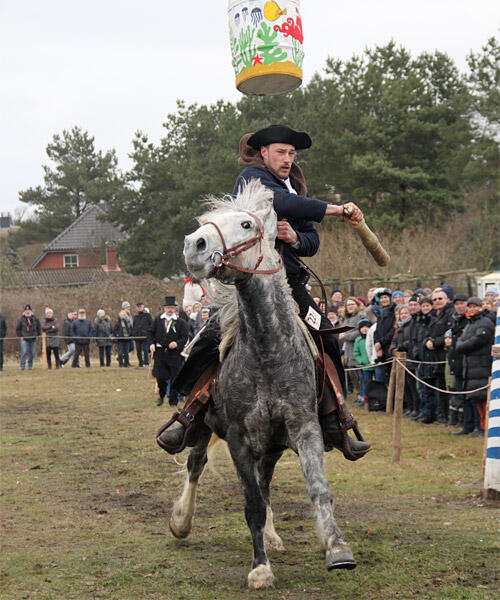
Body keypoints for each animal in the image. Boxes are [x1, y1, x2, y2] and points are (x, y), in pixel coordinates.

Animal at [171, 180, 356, 588]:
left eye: (245, 224)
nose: (194, 245)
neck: (268, 352)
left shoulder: (304, 427)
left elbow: (318, 489)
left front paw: (336, 549)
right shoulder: (238, 437)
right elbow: (252, 503)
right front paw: (260, 568)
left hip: (272, 444)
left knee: (265, 479)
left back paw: (272, 535)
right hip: (206, 427)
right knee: (196, 463)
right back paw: (182, 520)